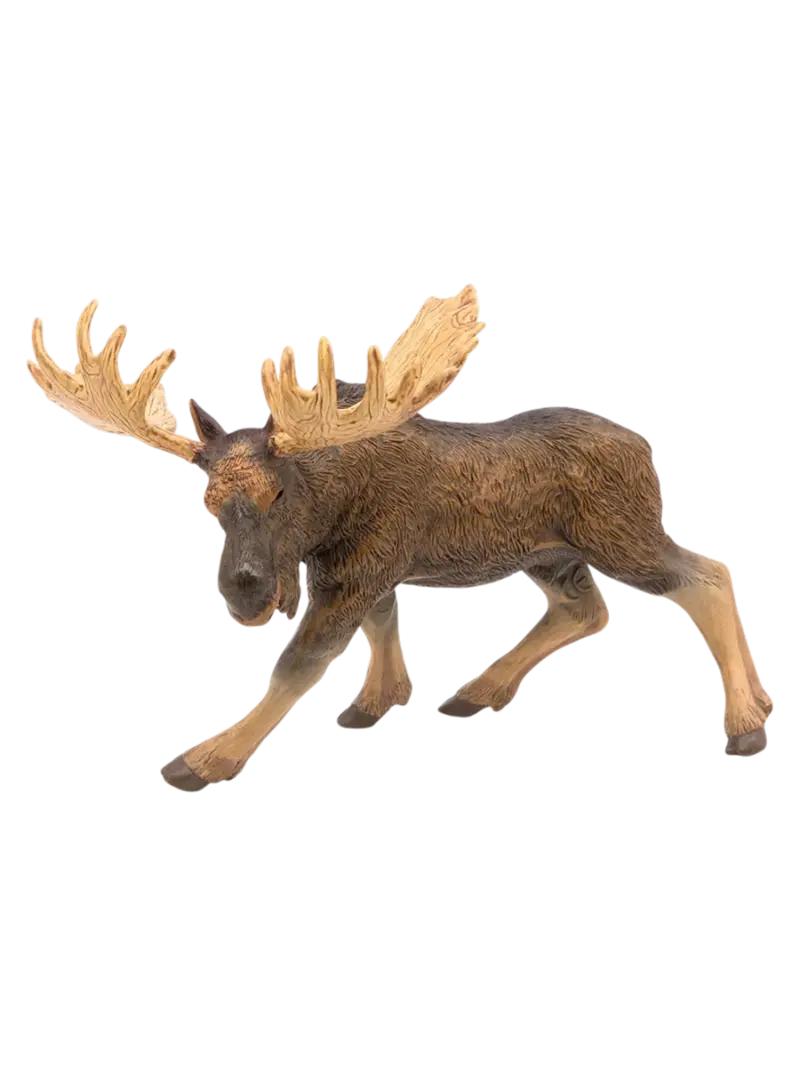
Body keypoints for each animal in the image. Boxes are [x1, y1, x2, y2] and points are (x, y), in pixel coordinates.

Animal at [26, 287, 774, 792]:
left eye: (278, 495)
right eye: (208, 502)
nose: (246, 598)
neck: (329, 508)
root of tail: (646, 453)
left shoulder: (356, 572)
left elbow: (294, 667)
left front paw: (207, 758)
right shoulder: (364, 573)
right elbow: (381, 629)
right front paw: (375, 702)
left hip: (620, 536)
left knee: (709, 573)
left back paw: (746, 721)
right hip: (550, 555)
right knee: (587, 609)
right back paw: (481, 690)